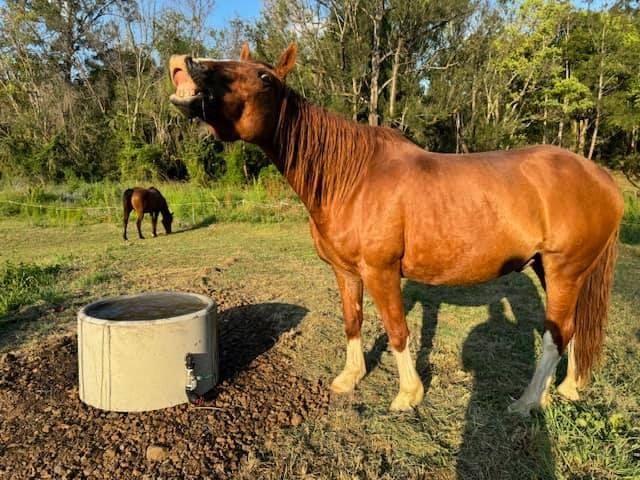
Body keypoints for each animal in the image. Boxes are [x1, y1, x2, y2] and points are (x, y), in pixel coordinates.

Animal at [168, 44, 623, 415]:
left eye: (265, 77)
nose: (183, 65)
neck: (351, 178)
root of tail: (602, 177)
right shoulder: (346, 272)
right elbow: (352, 321)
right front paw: (349, 378)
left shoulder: (381, 271)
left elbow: (397, 330)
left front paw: (408, 395)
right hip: (552, 270)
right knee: (573, 331)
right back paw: (566, 389)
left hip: (564, 270)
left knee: (555, 335)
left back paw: (528, 401)